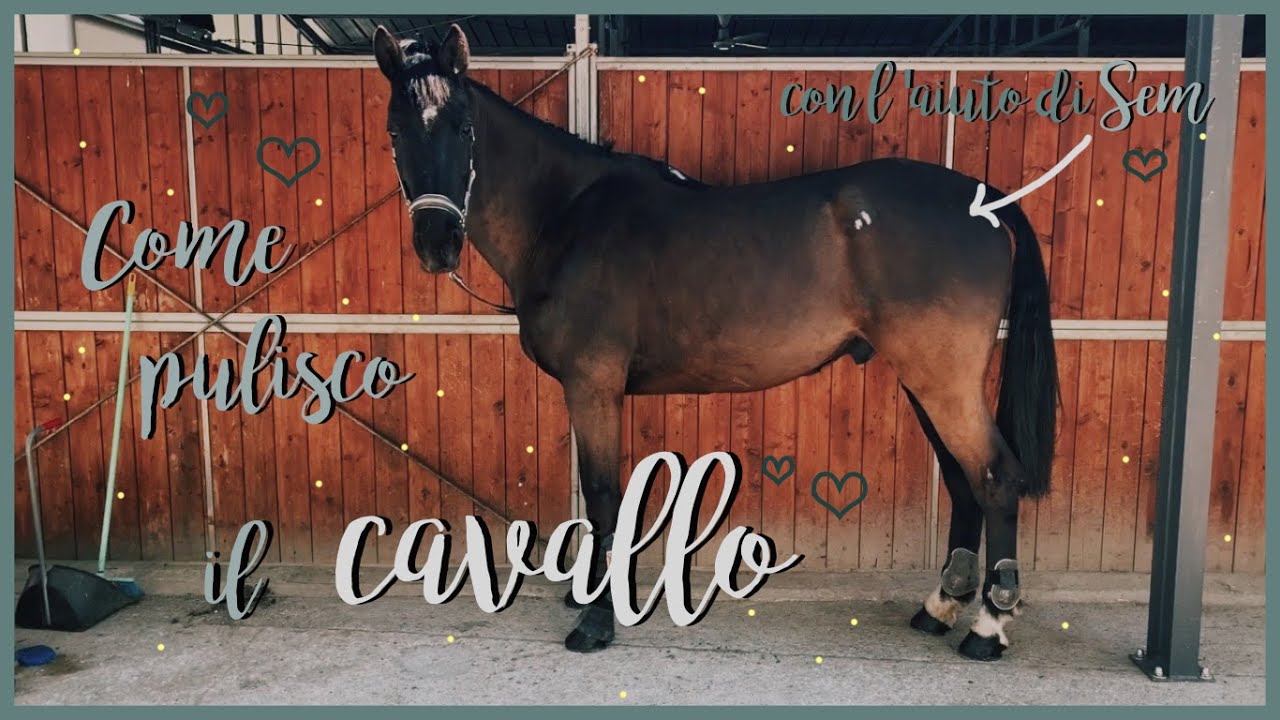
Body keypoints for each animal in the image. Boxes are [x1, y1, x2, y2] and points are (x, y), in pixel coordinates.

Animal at [372, 24, 1059, 662]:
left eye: (464, 127)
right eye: (395, 132)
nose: (437, 244)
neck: (567, 217)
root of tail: (983, 201)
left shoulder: (592, 385)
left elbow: (603, 495)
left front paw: (596, 621)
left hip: (942, 381)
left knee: (994, 477)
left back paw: (987, 630)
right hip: (926, 381)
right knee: (963, 480)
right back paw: (940, 607)